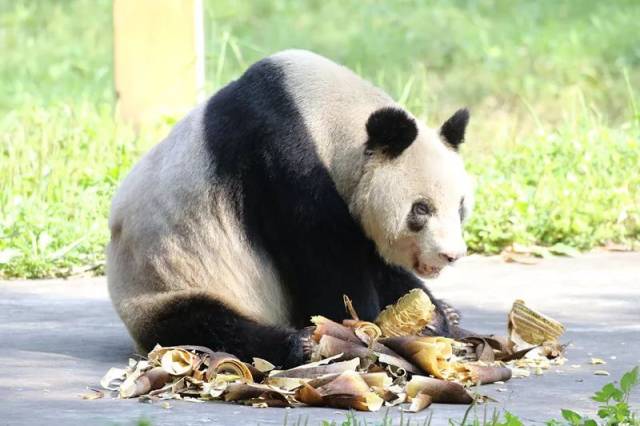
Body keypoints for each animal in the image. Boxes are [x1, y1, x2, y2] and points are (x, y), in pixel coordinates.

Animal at [107, 50, 472, 368]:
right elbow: (331, 273)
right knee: (203, 323)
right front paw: (368, 322)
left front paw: (436, 314)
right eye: (420, 209)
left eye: (460, 206)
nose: (450, 255)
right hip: (164, 281)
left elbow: (376, 262)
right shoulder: (284, 163)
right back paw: (300, 344)